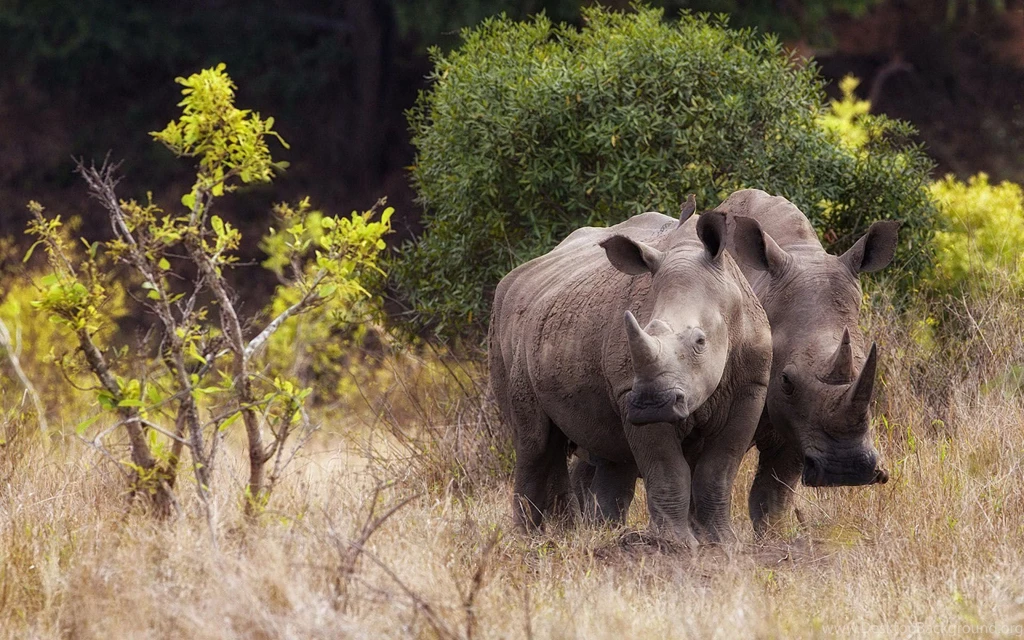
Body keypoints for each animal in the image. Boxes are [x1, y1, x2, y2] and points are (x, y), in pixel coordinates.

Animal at [488, 200, 773, 547]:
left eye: (700, 342)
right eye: (641, 331)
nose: (652, 405)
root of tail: (517, 276)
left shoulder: (751, 387)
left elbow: (718, 470)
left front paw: (721, 543)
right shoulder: (628, 390)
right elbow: (667, 468)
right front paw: (677, 545)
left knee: (606, 450)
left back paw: (590, 532)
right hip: (506, 325)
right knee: (535, 442)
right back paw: (530, 539)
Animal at [717, 189, 894, 535]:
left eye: (871, 372)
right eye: (786, 380)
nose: (846, 471)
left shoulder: (800, 425)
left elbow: (771, 498)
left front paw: (772, 538)